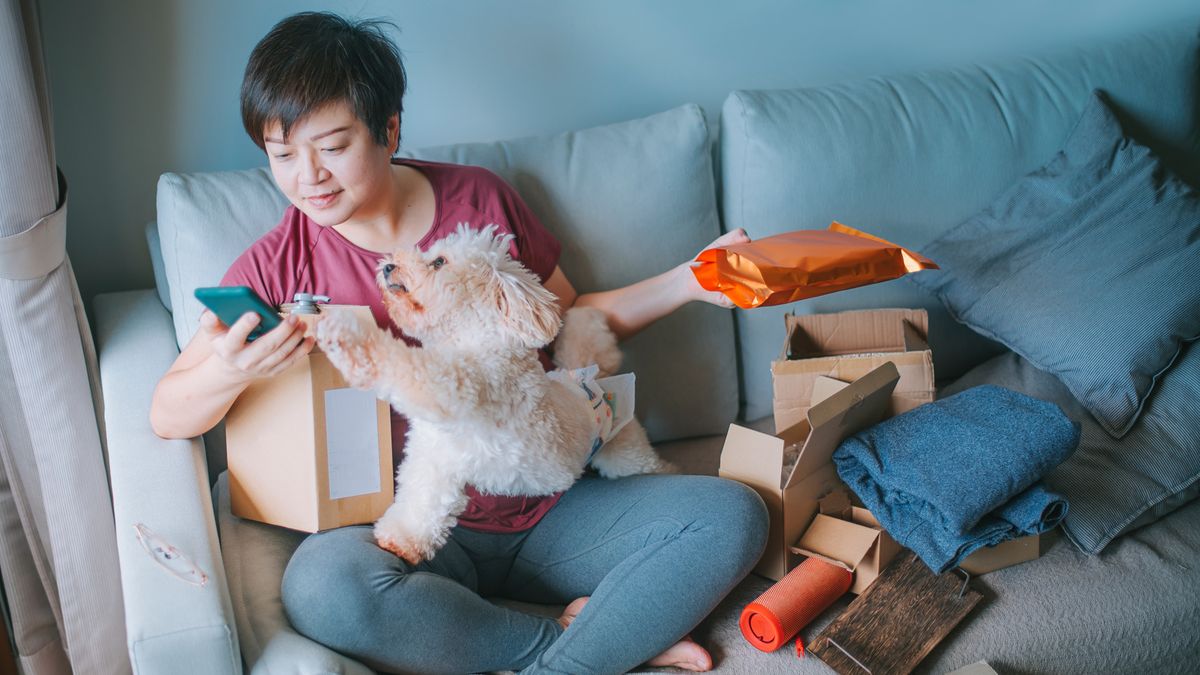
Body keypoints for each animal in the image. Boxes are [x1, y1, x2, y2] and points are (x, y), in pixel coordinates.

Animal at [314, 222, 667, 562]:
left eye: (438, 262)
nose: (388, 265)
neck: (472, 340)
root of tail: (596, 380)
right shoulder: (434, 455)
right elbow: (421, 498)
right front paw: (401, 539)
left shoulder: (455, 385)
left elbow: (400, 362)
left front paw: (345, 331)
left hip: (627, 454)